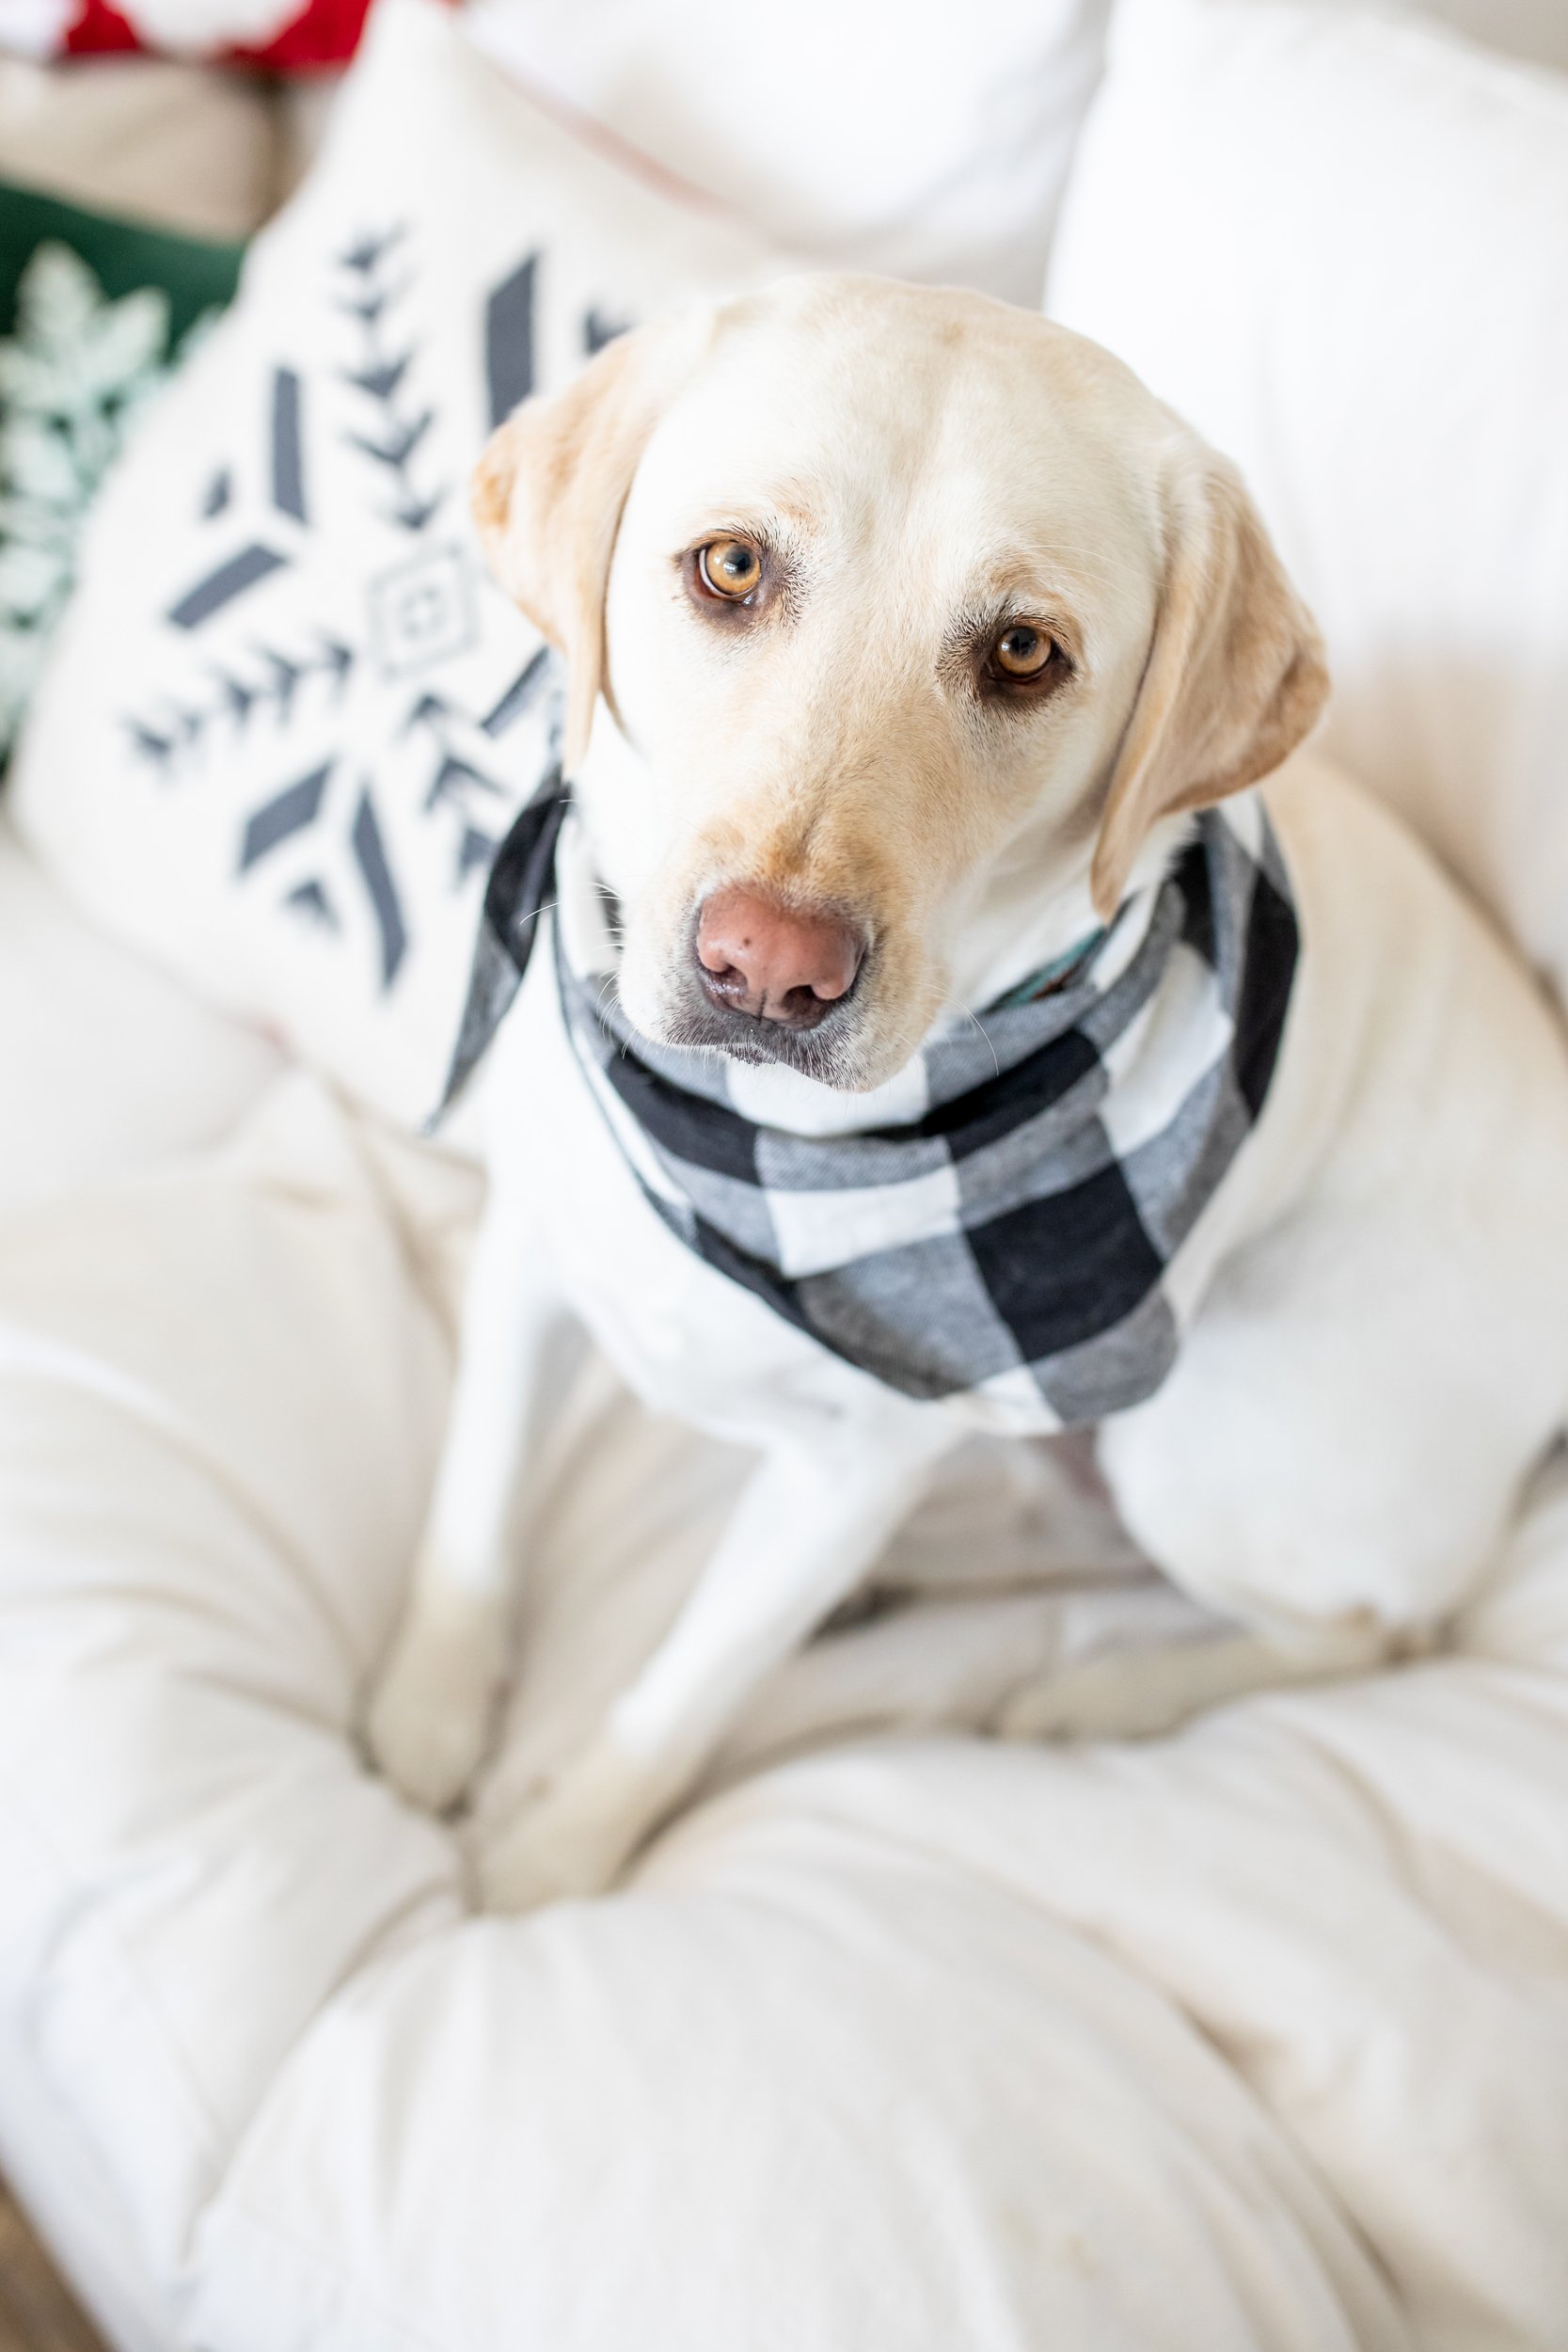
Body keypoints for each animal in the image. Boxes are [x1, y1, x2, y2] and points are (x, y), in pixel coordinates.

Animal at [364, 275, 1568, 1900]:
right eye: (730, 566)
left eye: (1021, 655)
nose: (768, 968)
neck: (763, 1143)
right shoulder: (532, 1259)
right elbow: (470, 1515)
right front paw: (430, 1707)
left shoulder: (849, 1469)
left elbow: (681, 1695)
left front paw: (552, 1861)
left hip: (1204, 1429)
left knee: (1375, 1627)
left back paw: (1097, 1693)